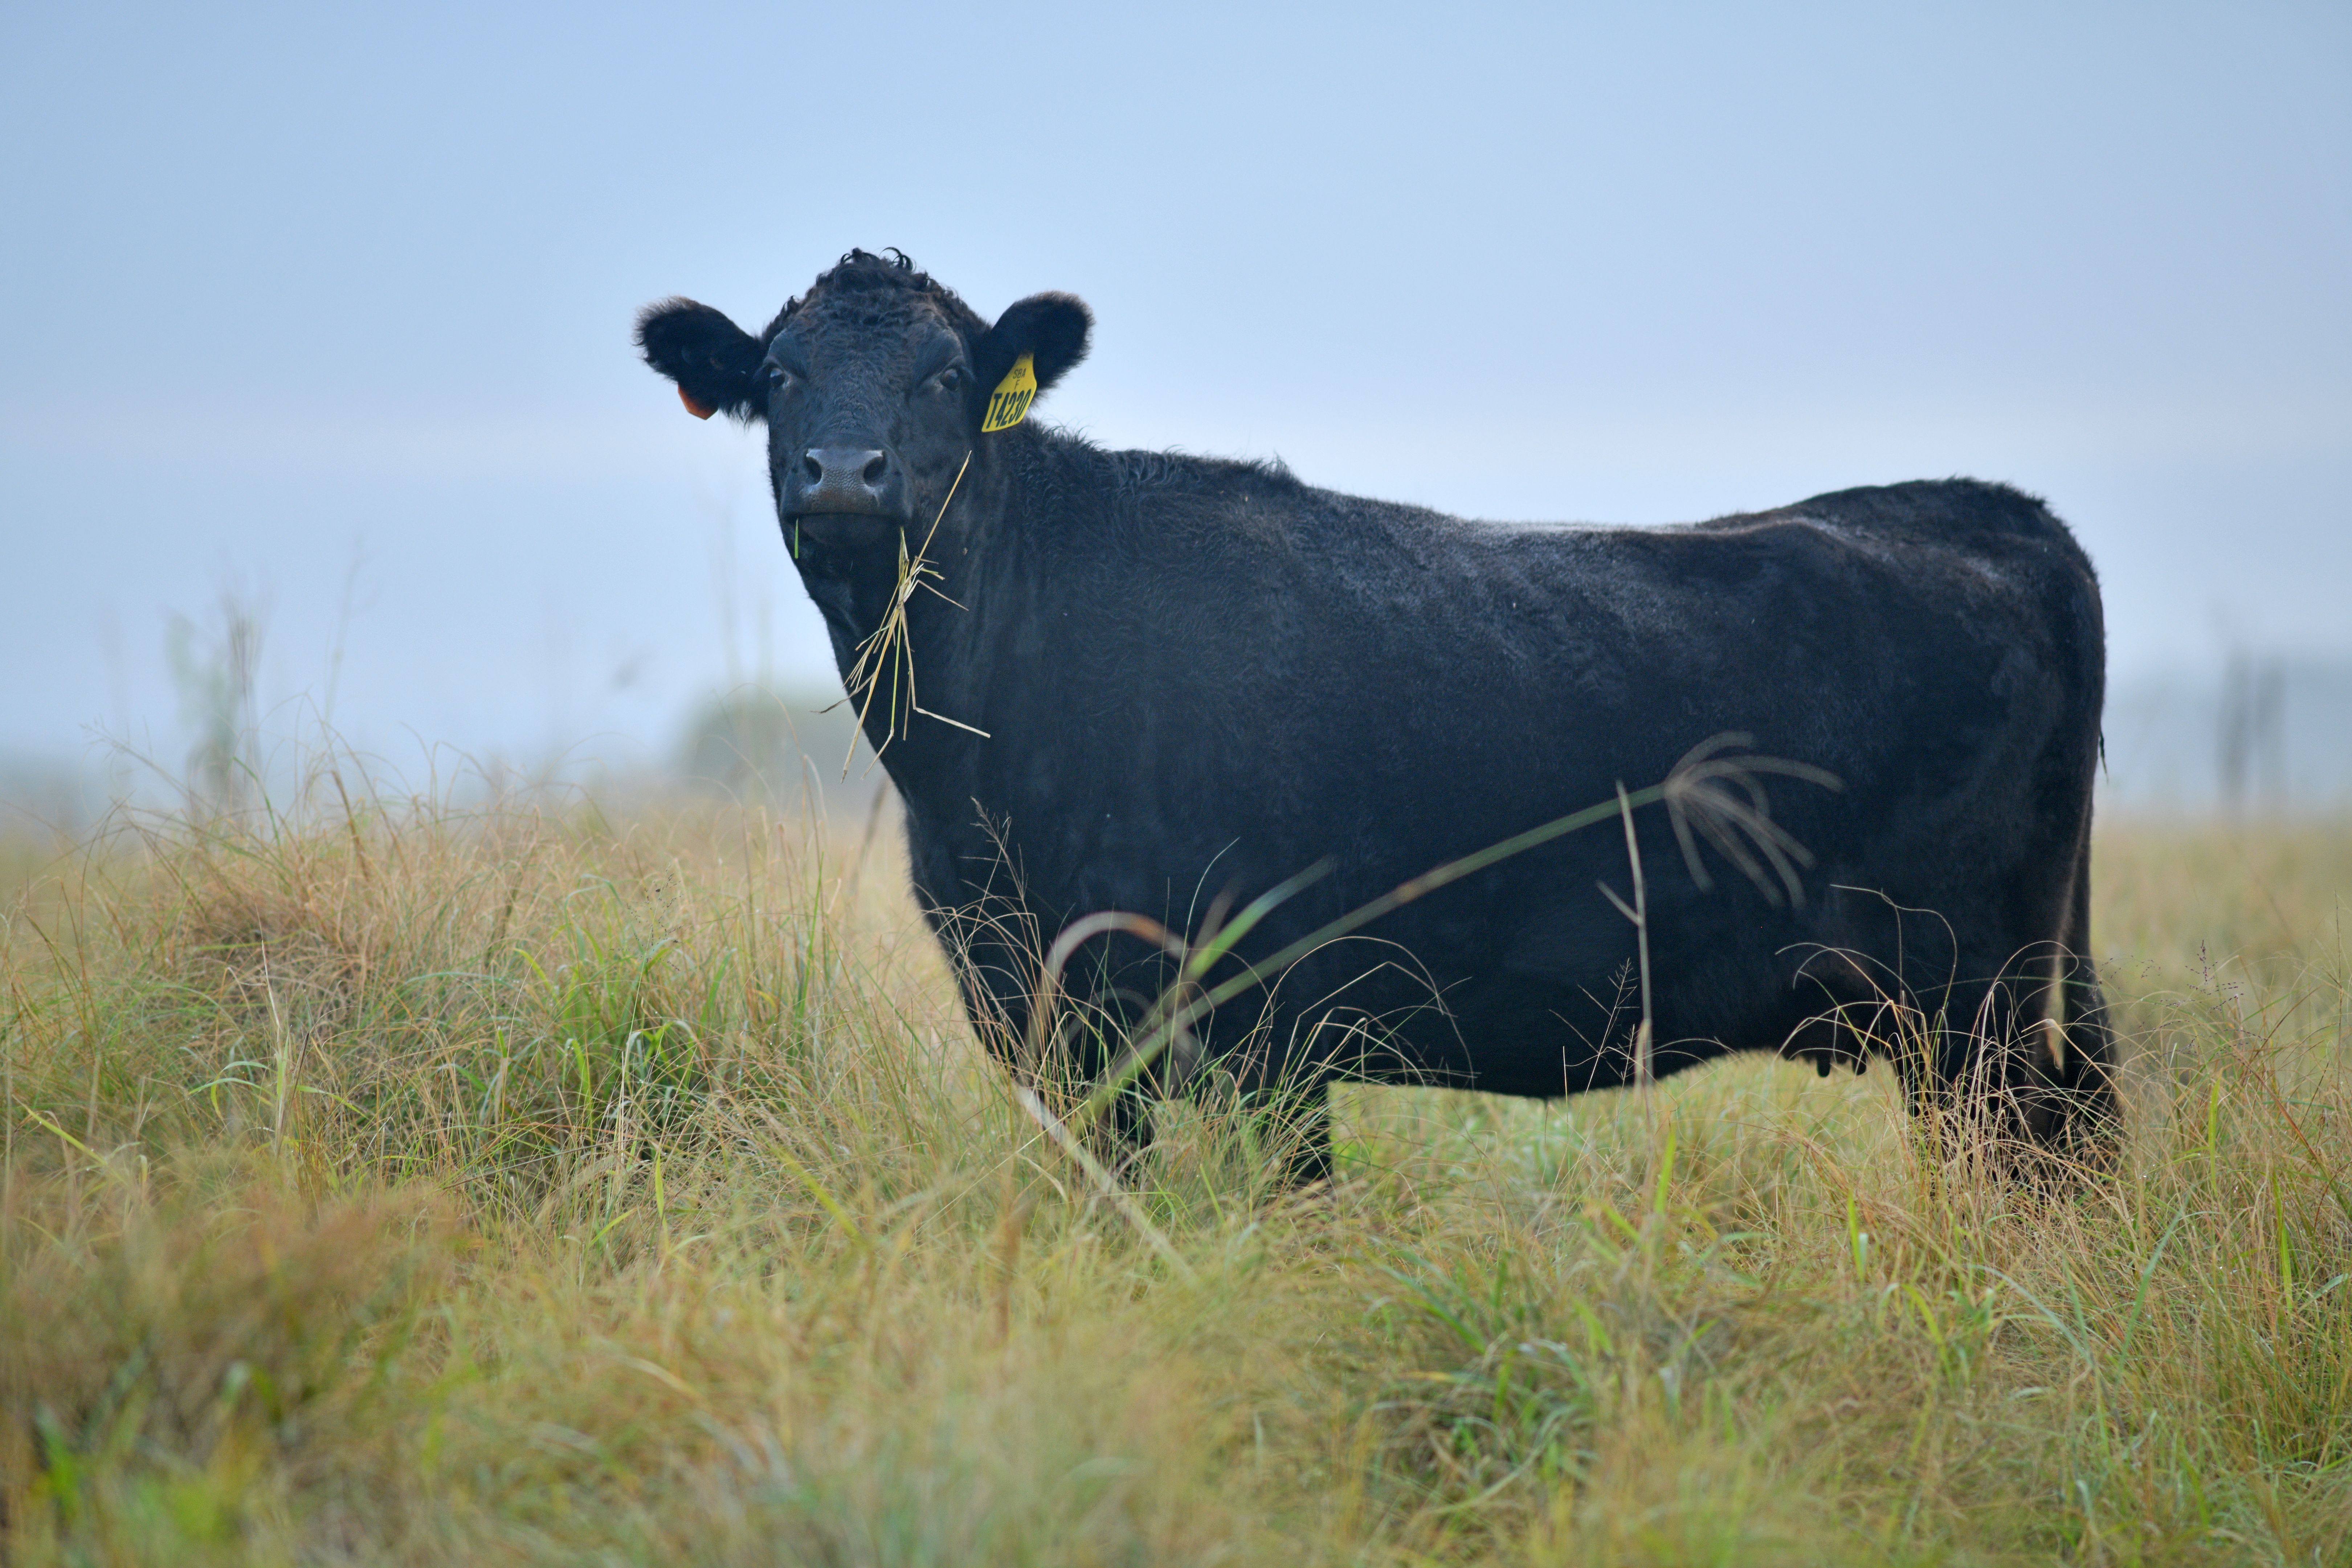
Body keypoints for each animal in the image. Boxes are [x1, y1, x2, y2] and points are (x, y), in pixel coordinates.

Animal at [637, 249, 2117, 1183]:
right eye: (777, 375)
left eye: (946, 374)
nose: (843, 472)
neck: (975, 767)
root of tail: (1986, 509)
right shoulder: (1042, 1013)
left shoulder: (1268, 1017)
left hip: (1974, 1003)